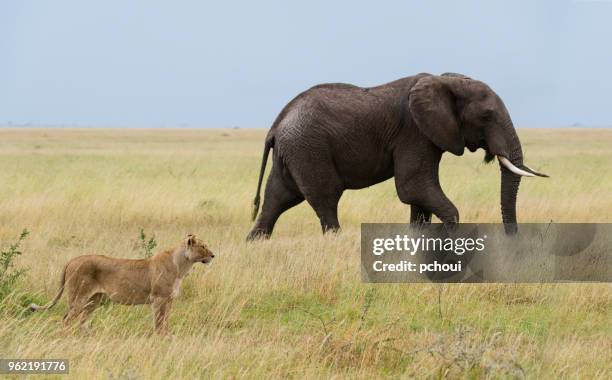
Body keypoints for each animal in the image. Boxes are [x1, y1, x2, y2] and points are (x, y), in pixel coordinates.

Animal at [246, 72, 548, 239]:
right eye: (486, 116)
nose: (512, 241)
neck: (445, 80)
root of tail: (276, 125)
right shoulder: (414, 133)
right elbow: (413, 187)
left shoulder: (427, 136)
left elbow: (419, 197)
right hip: (309, 149)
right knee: (325, 200)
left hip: (293, 152)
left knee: (277, 199)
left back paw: (254, 243)